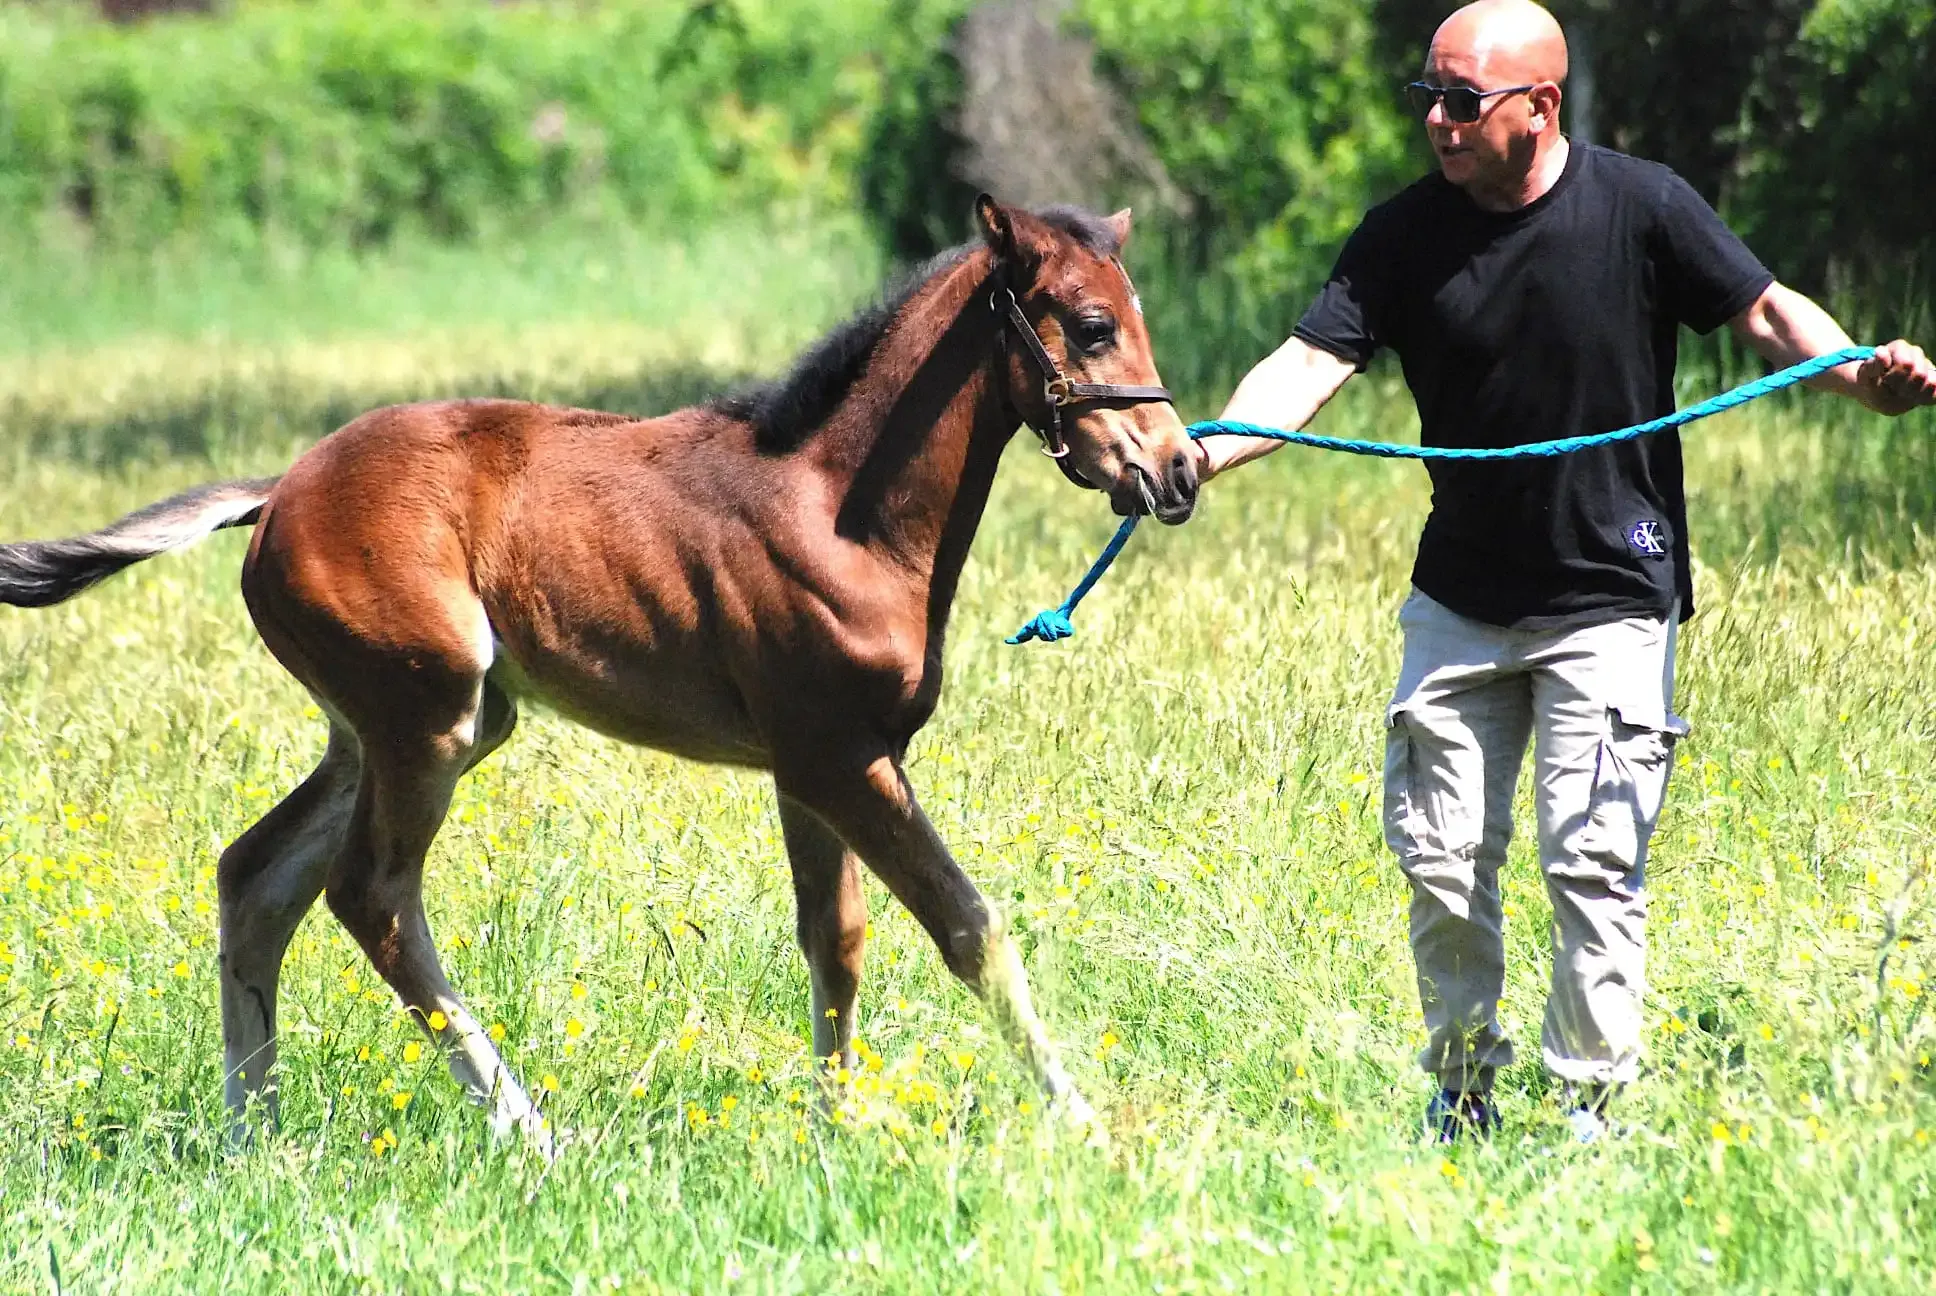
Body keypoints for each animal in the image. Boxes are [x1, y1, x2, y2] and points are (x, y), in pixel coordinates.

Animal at [0, 196, 1199, 1154]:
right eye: (1091, 325)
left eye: (1137, 314)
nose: (1177, 468)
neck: (836, 509)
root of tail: (279, 492)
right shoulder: (843, 759)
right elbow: (968, 927)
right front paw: (1087, 1129)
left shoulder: (810, 768)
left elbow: (837, 942)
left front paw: (835, 1134)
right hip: (426, 721)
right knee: (370, 896)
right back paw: (527, 1132)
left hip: (390, 727)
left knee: (254, 879)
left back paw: (255, 1139)